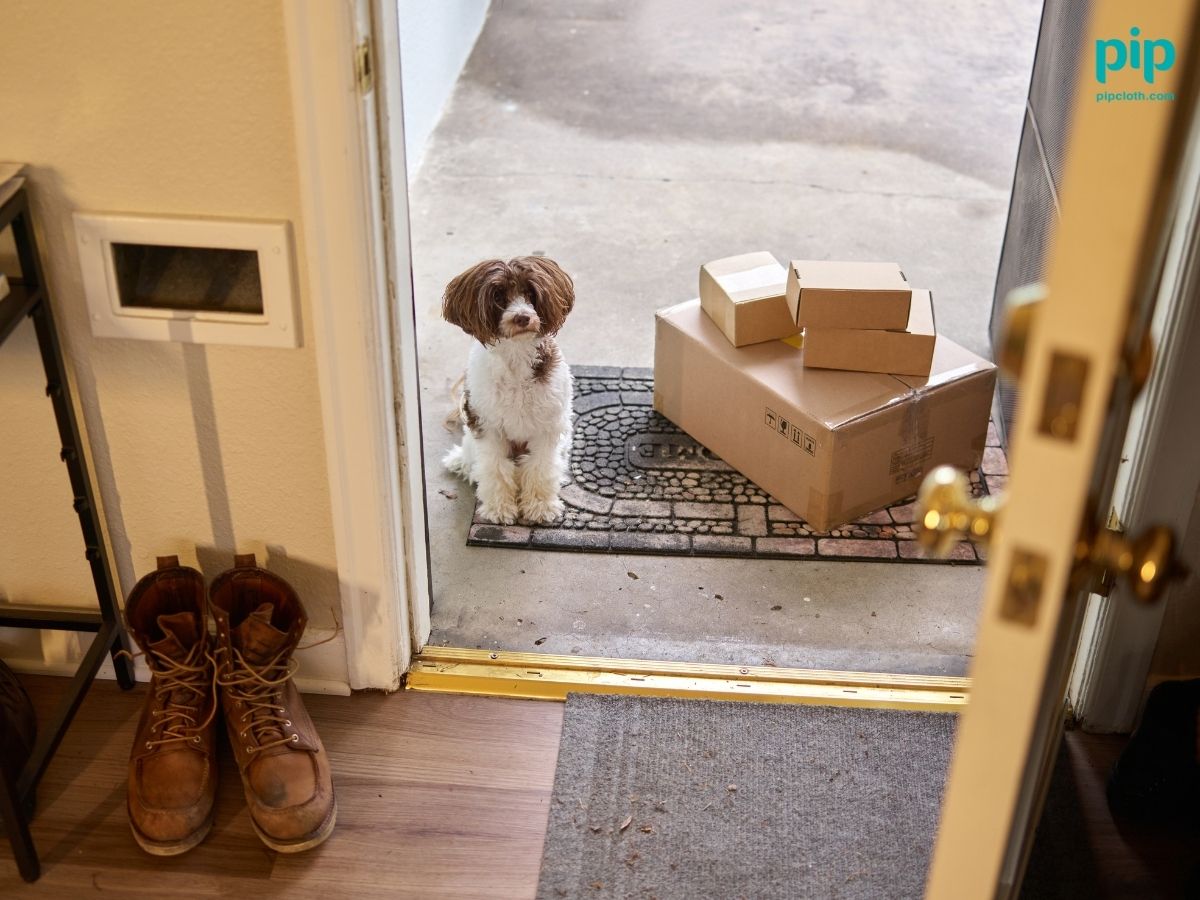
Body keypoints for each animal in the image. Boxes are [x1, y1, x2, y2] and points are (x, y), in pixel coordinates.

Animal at [441, 256, 576, 525]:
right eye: (498, 297)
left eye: (530, 293)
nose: (522, 317)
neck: (516, 356)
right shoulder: (488, 427)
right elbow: (495, 468)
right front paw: (499, 508)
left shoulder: (547, 429)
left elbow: (541, 467)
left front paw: (540, 506)